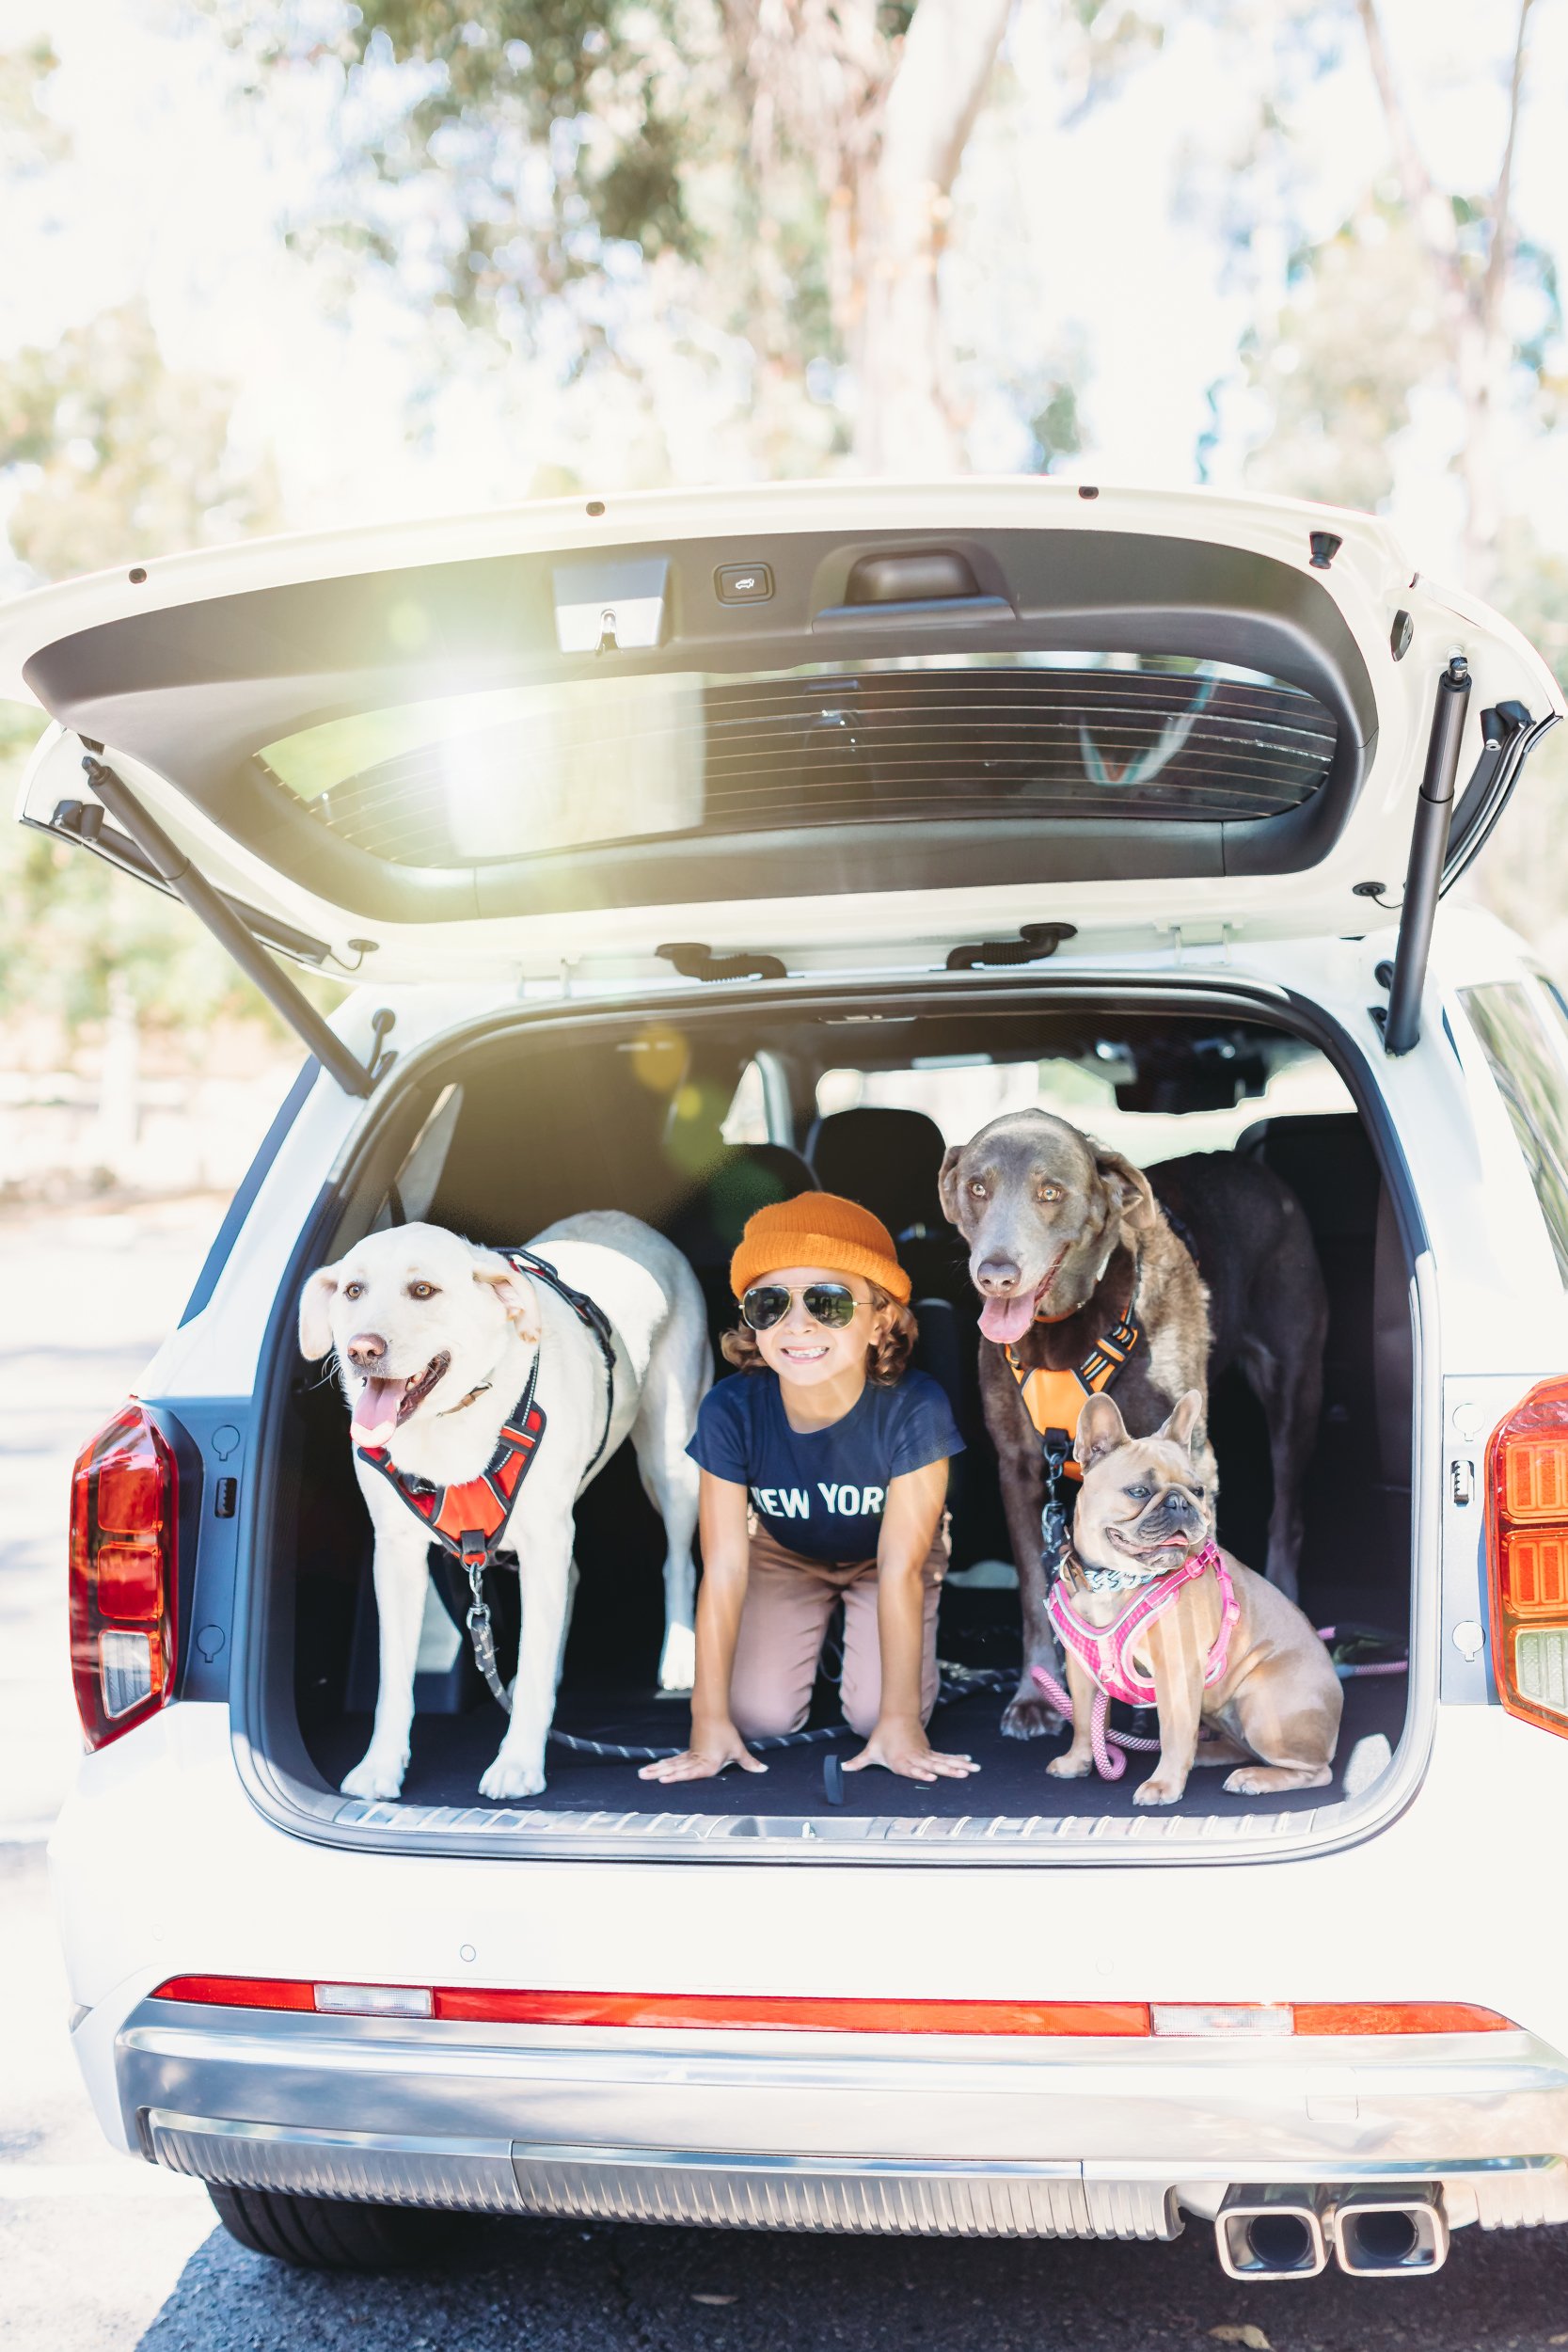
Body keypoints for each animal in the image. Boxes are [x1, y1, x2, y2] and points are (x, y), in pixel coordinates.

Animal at [295, 1214, 709, 1797]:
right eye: (353, 1291)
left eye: (423, 1291)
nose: (360, 1350)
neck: (453, 1421)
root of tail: (629, 1221)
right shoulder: (395, 1554)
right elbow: (393, 1678)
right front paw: (381, 1765)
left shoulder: (545, 1536)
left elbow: (533, 1670)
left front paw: (518, 1763)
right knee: (569, 1587)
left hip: (668, 1458)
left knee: (677, 1562)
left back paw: (678, 1656)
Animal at [944, 1110, 1325, 1740]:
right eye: (978, 1187)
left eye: (1051, 1192)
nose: (996, 1274)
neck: (1059, 1332)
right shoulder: (1019, 1468)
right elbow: (1031, 1591)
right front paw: (1036, 1696)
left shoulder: (1195, 1460)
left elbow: (1184, 1577)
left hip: (1294, 1381)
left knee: (1289, 1512)